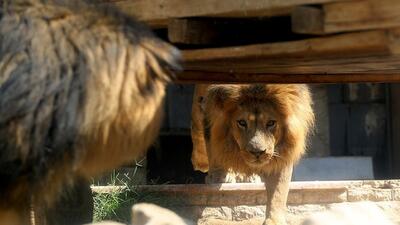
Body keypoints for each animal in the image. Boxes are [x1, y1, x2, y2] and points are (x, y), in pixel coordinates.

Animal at [192, 84, 314, 225]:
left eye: (271, 123)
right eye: (242, 122)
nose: (257, 152)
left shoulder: (282, 153)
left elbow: (278, 191)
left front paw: (274, 220)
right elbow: (214, 144)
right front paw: (217, 176)